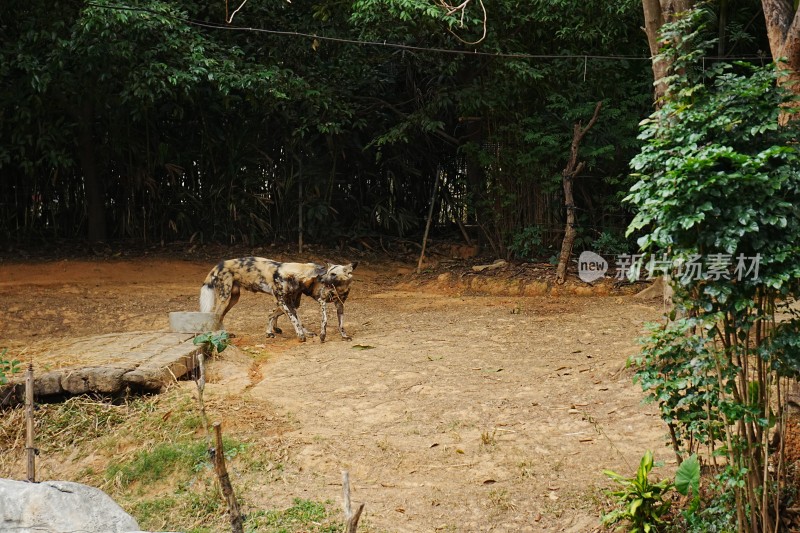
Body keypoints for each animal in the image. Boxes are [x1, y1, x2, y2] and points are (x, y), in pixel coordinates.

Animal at [197, 256, 356, 340]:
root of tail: (219, 264)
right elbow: (294, 319)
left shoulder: (290, 302)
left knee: (221, 316)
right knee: (216, 315)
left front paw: (304, 333)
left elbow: (296, 319)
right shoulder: (282, 301)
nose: (324, 284)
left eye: (332, 274)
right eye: (324, 276)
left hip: (233, 299)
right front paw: (300, 335)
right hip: (225, 298)